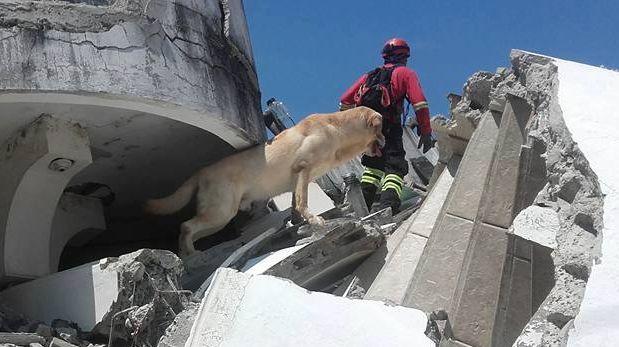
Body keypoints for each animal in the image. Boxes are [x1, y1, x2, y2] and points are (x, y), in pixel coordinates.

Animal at [147, 106, 386, 256]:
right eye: (382, 128)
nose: (386, 141)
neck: (338, 128)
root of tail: (202, 171)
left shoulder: (298, 179)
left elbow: (295, 204)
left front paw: (297, 223)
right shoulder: (303, 169)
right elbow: (303, 202)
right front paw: (313, 220)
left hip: (218, 217)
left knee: (188, 228)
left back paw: (183, 253)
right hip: (221, 213)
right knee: (186, 225)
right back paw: (190, 253)